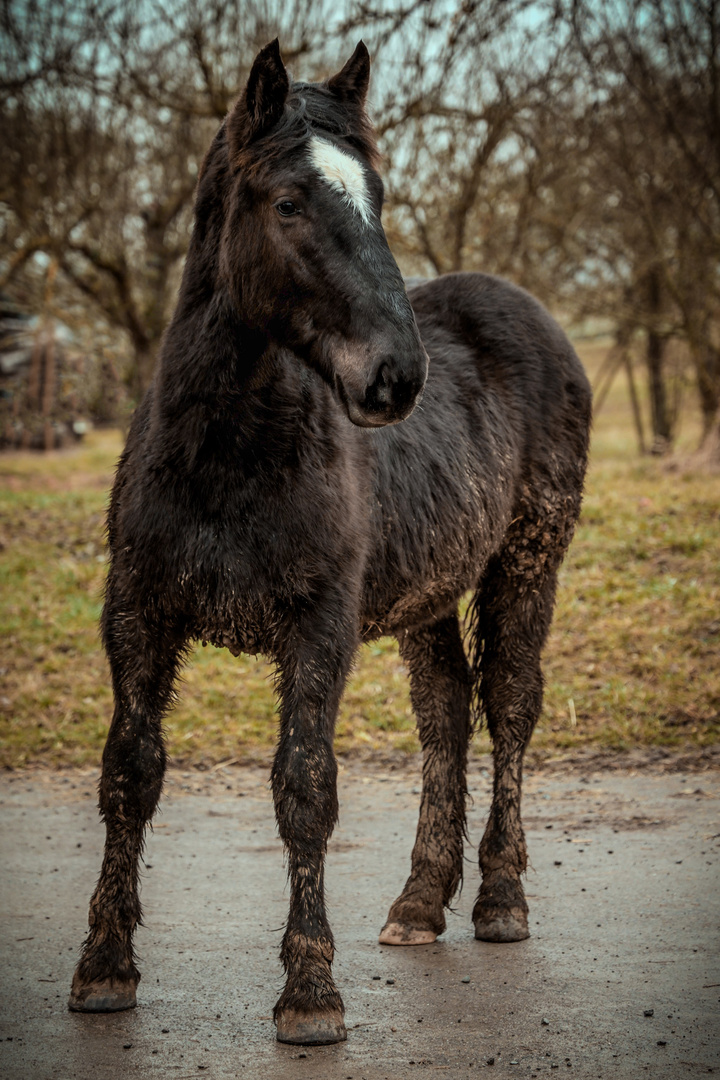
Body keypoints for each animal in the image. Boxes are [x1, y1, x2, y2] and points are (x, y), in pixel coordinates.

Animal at [70, 39, 595, 1045]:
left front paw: (311, 991)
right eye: (287, 203)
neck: (227, 450)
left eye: (377, 194)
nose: (397, 377)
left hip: (526, 564)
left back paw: (500, 900)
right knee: (446, 714)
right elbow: (129, 774)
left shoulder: (319, 629)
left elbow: (305, 788)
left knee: (510, 708)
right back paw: (419, 904)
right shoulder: (137, 619)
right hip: (429, 594)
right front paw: (104, 967)